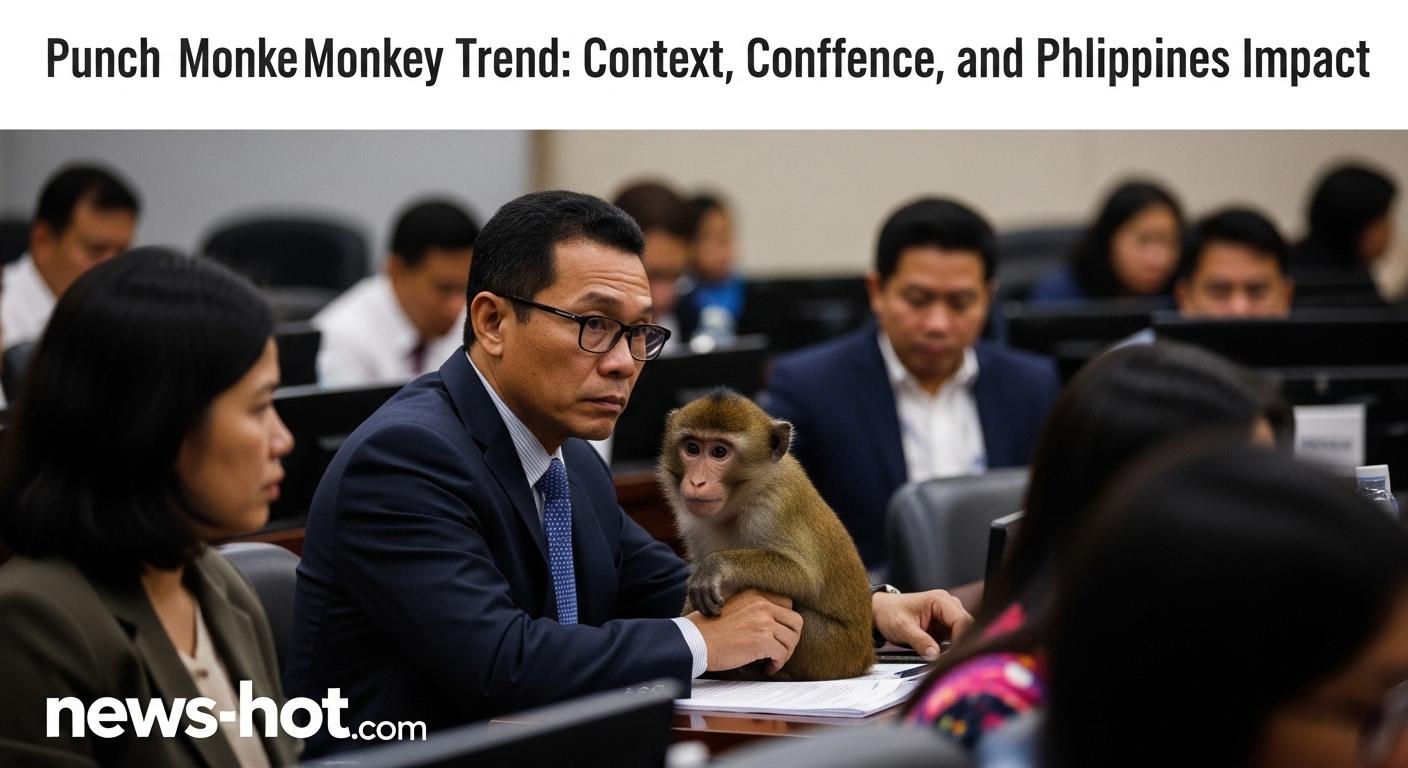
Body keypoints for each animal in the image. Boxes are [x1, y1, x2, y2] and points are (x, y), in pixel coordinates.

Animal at [657, 390, 875, 681]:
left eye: (719, 452)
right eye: (692, 448)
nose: (697, 482)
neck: (744, 497)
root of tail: (865, 657)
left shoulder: (774, 505)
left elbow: (804, 578)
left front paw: (716, 565)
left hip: (831, 649)